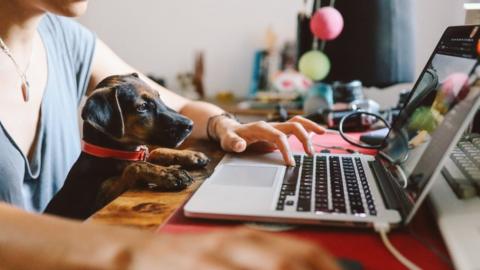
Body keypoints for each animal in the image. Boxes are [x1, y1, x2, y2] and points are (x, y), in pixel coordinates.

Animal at [44, 73, 209, 219]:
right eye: (142, 107)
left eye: (159, 96)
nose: (190, 125)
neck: (114, 152)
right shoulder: (98, 200)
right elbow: (135, 167)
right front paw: (169, 173)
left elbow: (154, 152)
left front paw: (191, 155)